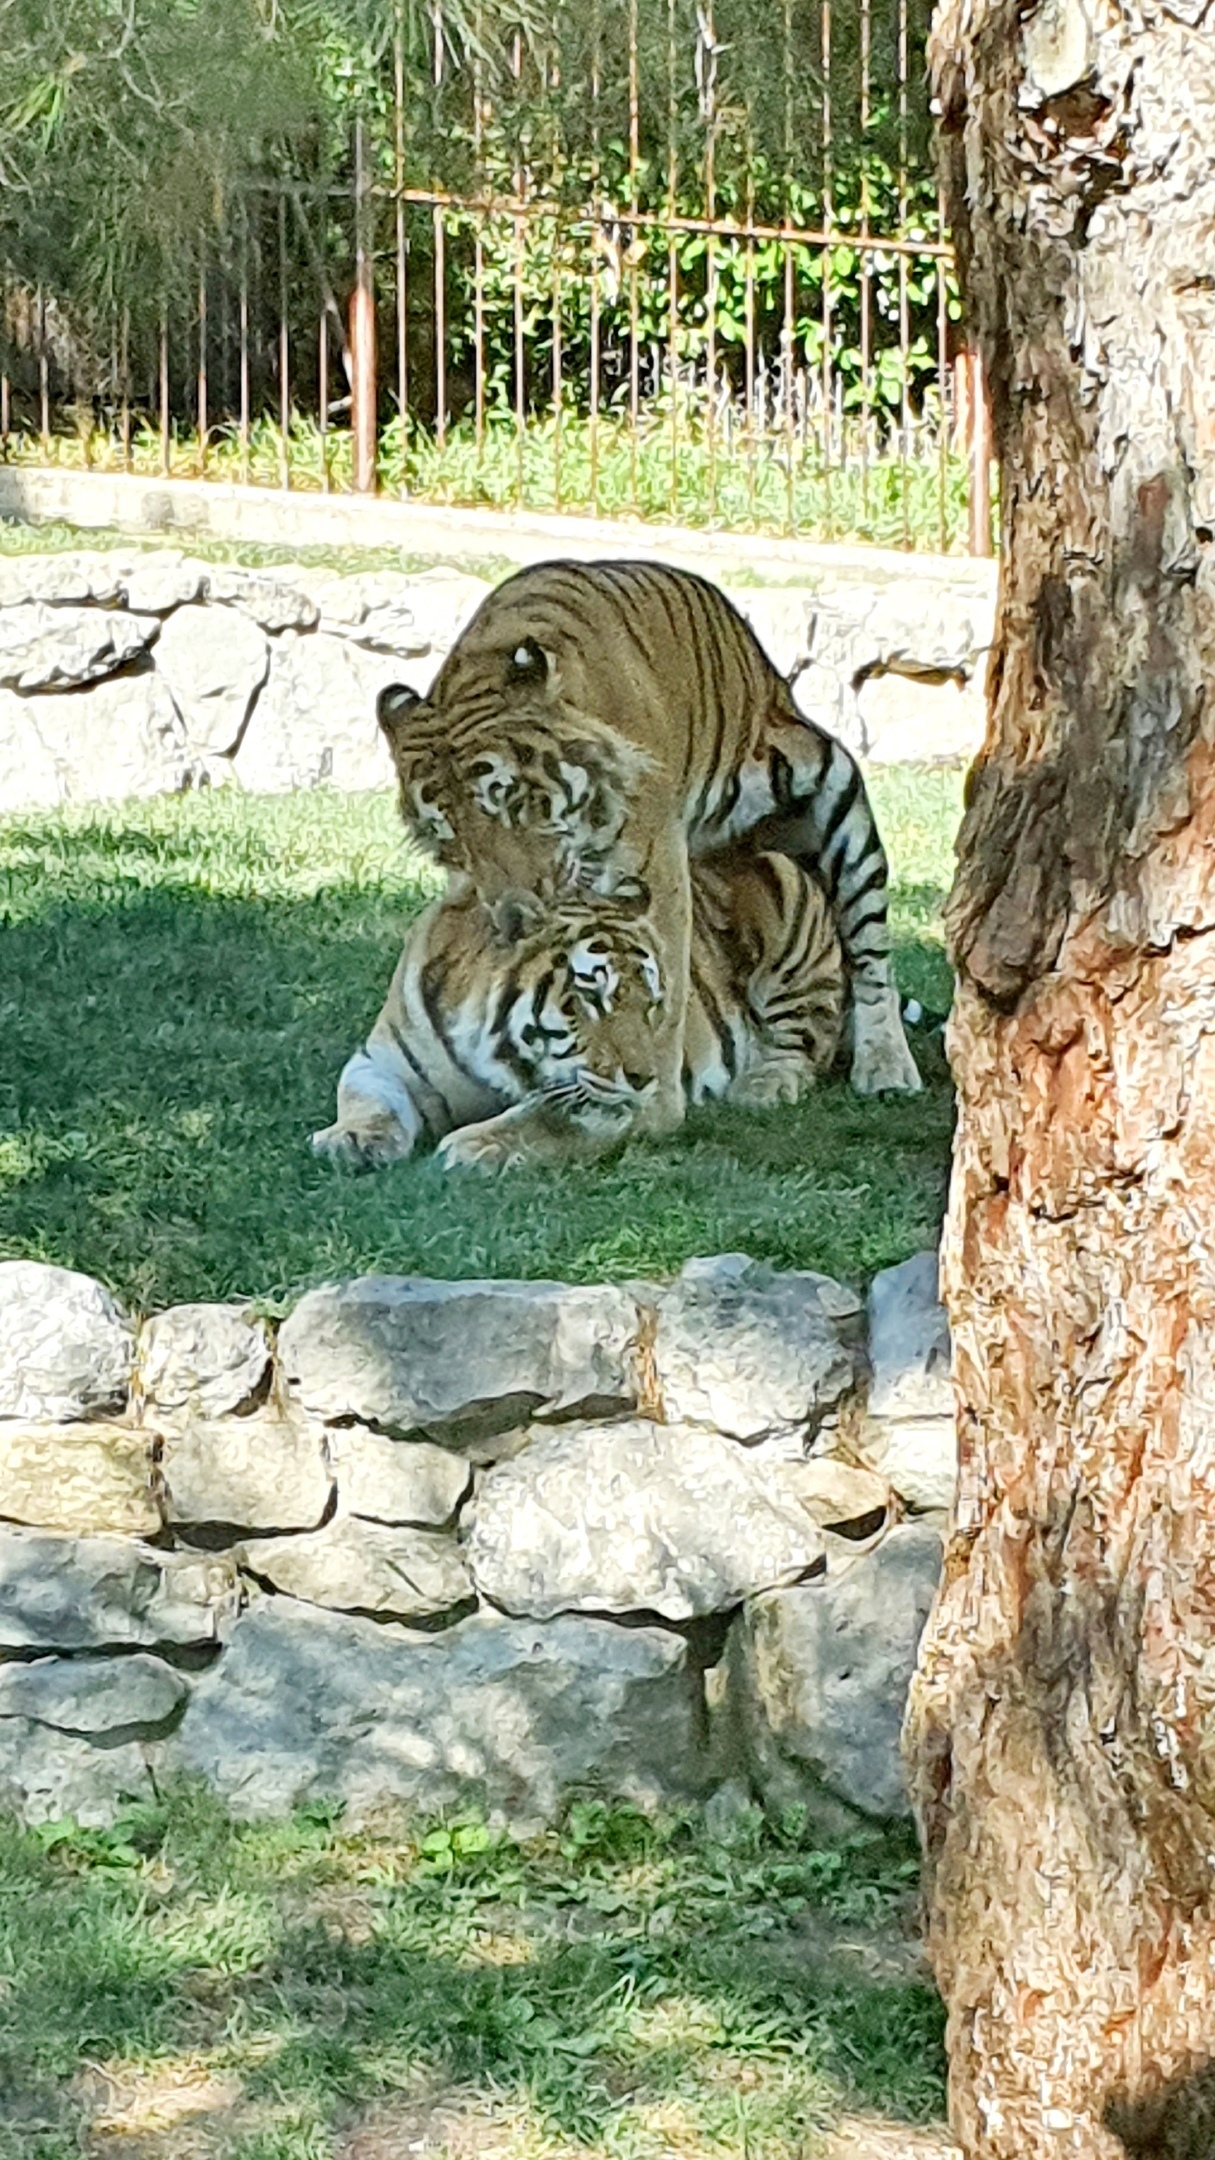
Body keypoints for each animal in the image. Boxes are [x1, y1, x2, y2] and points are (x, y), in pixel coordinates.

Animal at [311, 846, 843, 1175]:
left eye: (651, 1003)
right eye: (591, 997)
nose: (646, 1079)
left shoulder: (609, 1103)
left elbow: (539, 1119)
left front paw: (476, 1145)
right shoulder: (381, 1058)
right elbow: (368, 1100)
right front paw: (350, 1140)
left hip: (793, 928)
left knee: (802, 1047)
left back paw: (762, 1086)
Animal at [363, 557, 912, 1166]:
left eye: (510, 801)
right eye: (450, 836)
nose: (511, 914)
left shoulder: (656, 859)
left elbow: (665, 971)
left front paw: (655, 1095)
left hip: (836, 800)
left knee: (869, 953)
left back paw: (885, 1067)